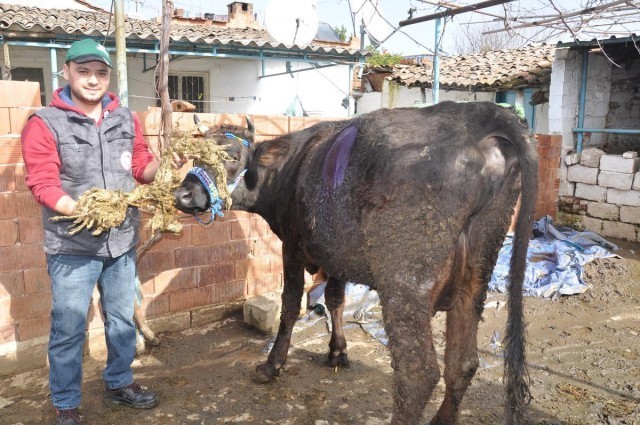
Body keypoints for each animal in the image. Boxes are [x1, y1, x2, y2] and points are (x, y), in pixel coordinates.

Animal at [172, 102, 536, 424]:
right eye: (196, 157)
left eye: (232, 157)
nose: (182, 195)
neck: (289, 169)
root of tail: (479, 114)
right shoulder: (335, 253)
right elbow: (335, 300)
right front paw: (337, 352)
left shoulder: (292, 245)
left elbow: (290, 305)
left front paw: (272, 365)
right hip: (477, 272)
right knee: (463, 363)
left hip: (405, 281)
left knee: (418, 373)